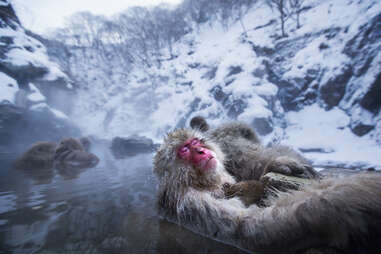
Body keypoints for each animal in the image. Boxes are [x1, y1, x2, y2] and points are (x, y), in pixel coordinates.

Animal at [153, 129, 380, 254]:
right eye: (185, 150)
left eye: (196, 142)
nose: (201, 151)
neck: (201, 181)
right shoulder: (191, 201)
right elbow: (245, 229)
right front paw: (352, 195)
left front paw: (279, 163)